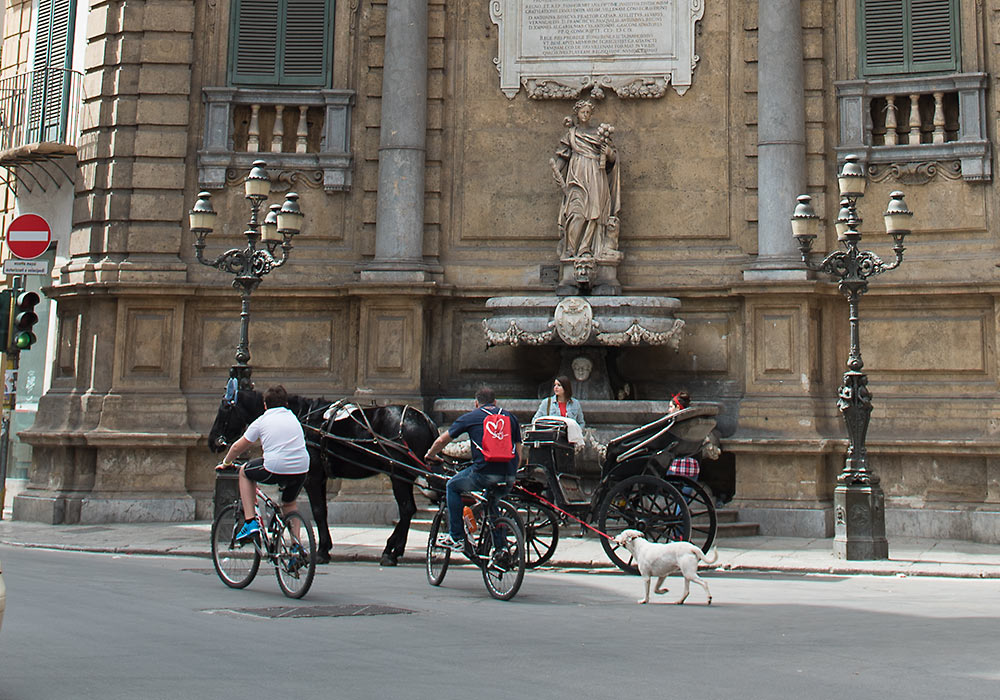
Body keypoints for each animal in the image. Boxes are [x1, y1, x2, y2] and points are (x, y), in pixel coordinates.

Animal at [210, 386, 438, 568]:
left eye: (224, 410)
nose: (212, 442)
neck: (303, 419)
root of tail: (424, 419)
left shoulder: (312, 476)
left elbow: (319, 511)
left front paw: (321, 551)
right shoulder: (318, 477)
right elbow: (322, 511)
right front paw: (323, 547)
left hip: (398, 474)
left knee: (406, 509)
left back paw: (391, 551)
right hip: (403, 474)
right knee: (408, 509)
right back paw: (394, 549)